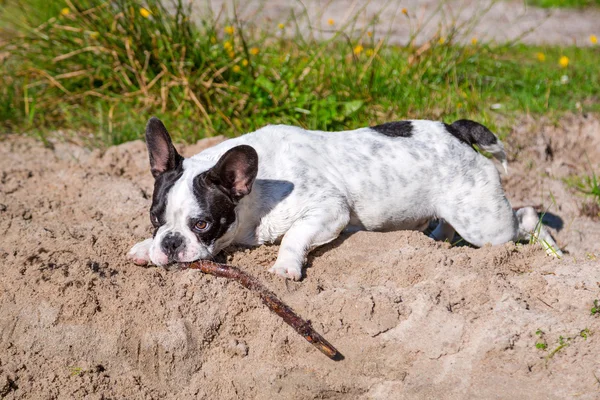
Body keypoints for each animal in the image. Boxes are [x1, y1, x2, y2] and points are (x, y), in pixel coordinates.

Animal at [127, 115, 564, 280]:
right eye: (155, 218)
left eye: (202, 224)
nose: (170, 243)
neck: (257, 188)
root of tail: (455, 129)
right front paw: (145, 247)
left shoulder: (328, 211)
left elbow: (293, 236)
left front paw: (286, 266)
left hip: (484, 225)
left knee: (527, 218)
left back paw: (554, 254)